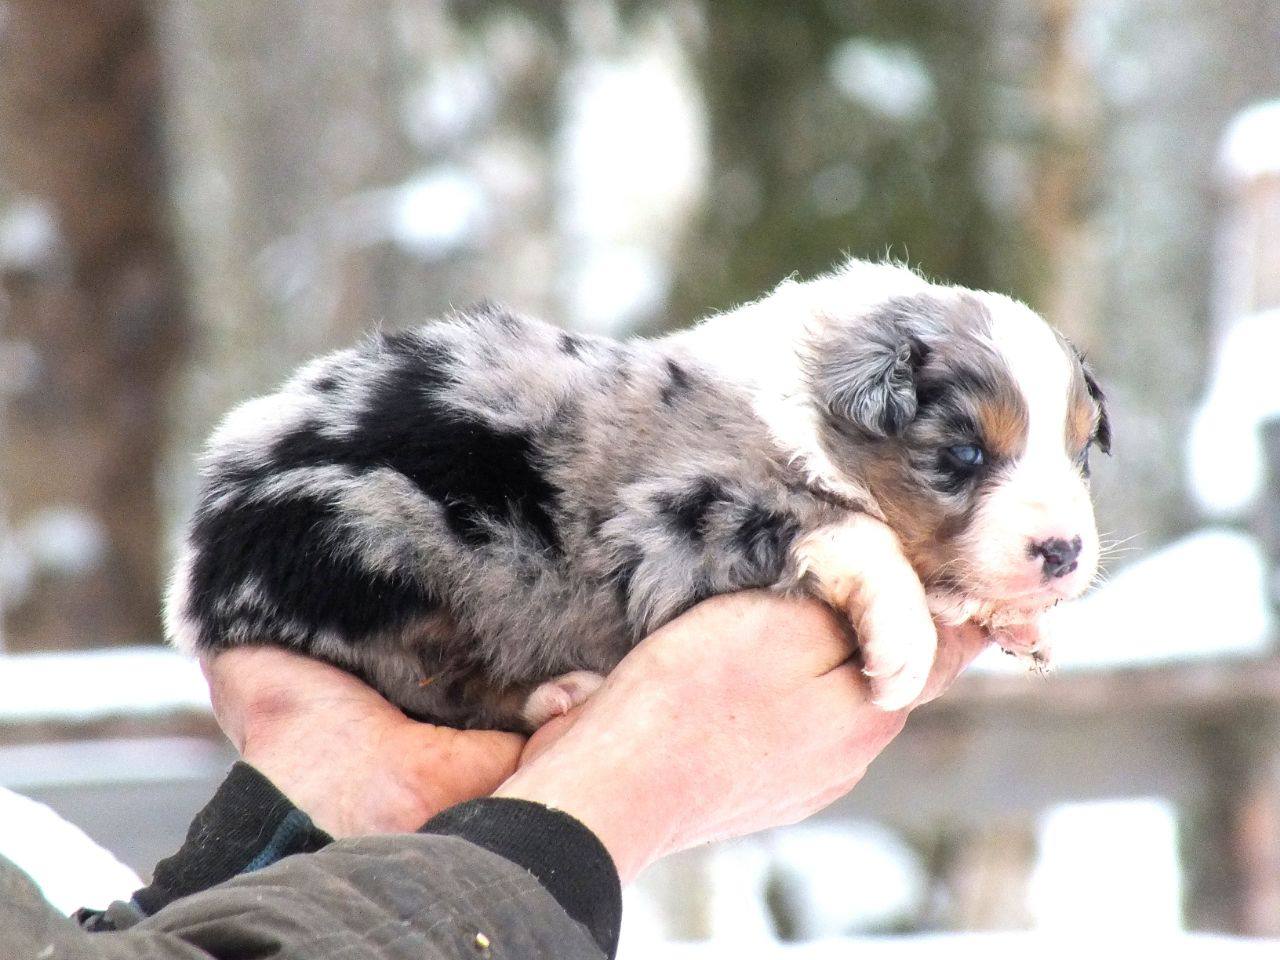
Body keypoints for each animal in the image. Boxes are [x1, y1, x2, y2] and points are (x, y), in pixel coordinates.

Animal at [167, 259, 1111, 732]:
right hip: (373, 540)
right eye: (961, 454)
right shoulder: (678, 517)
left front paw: (1021, 623)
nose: (1065, 553)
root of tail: (195, 579)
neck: (805, 404)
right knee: (425, 683)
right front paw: (904, 650)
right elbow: (855, 532)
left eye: (1080, 452)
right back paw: (557, 695)